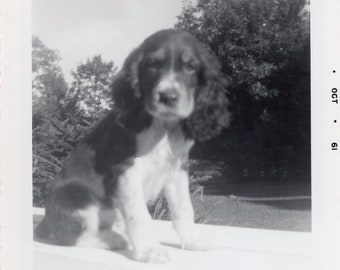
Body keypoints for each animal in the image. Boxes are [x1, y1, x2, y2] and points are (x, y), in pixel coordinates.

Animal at [34, 29, 230, 264]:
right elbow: (140, 214)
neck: (163, 126)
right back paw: (114, 239)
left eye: (190, 67)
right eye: (152, 65)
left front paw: (193, 241)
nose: (168, 97)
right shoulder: (127, 169)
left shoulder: (178, 168)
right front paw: (150, 250)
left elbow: (183, 208)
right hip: (74, 197)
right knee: (72, 236)